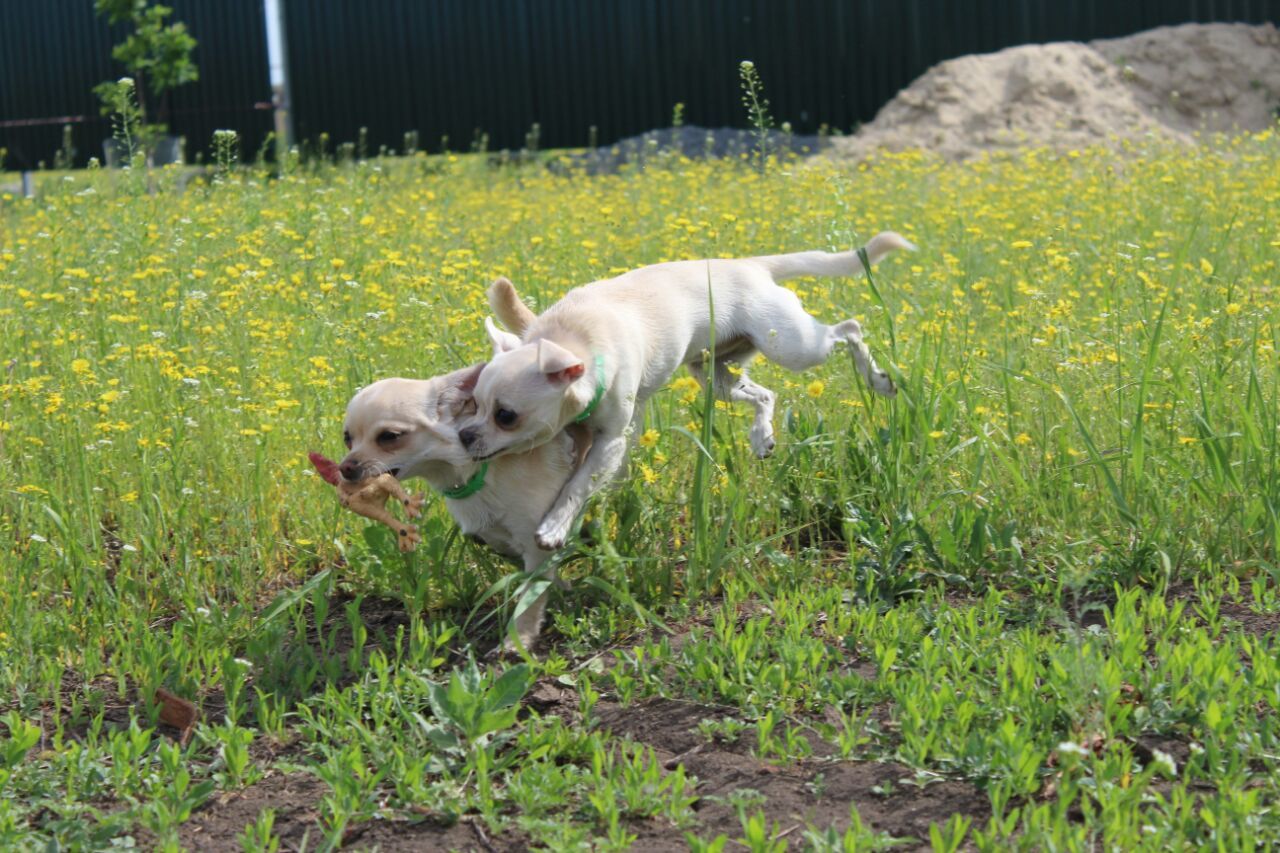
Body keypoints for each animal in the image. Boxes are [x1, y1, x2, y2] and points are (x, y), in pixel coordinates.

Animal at [335, 279, 586, 645]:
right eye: (347, 438)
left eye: (390, 437)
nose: (345, 467)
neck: (478, 471)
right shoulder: (496, 535)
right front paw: (561, 588)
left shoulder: (536, 541)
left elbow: (530, 593)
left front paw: (520, 638)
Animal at [455, 233, 916, 548]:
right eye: (472, 404)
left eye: (506, 416)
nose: (464, 435)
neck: (571, 338)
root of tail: (751, 265)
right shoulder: (587, 436)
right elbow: (577, 477)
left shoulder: (610, 441)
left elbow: (577, 485)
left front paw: (554, 526)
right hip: (716, 376)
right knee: (765, 394)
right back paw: (761, 437)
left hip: (793, 346)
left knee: (848, 329)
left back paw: (877, 378)